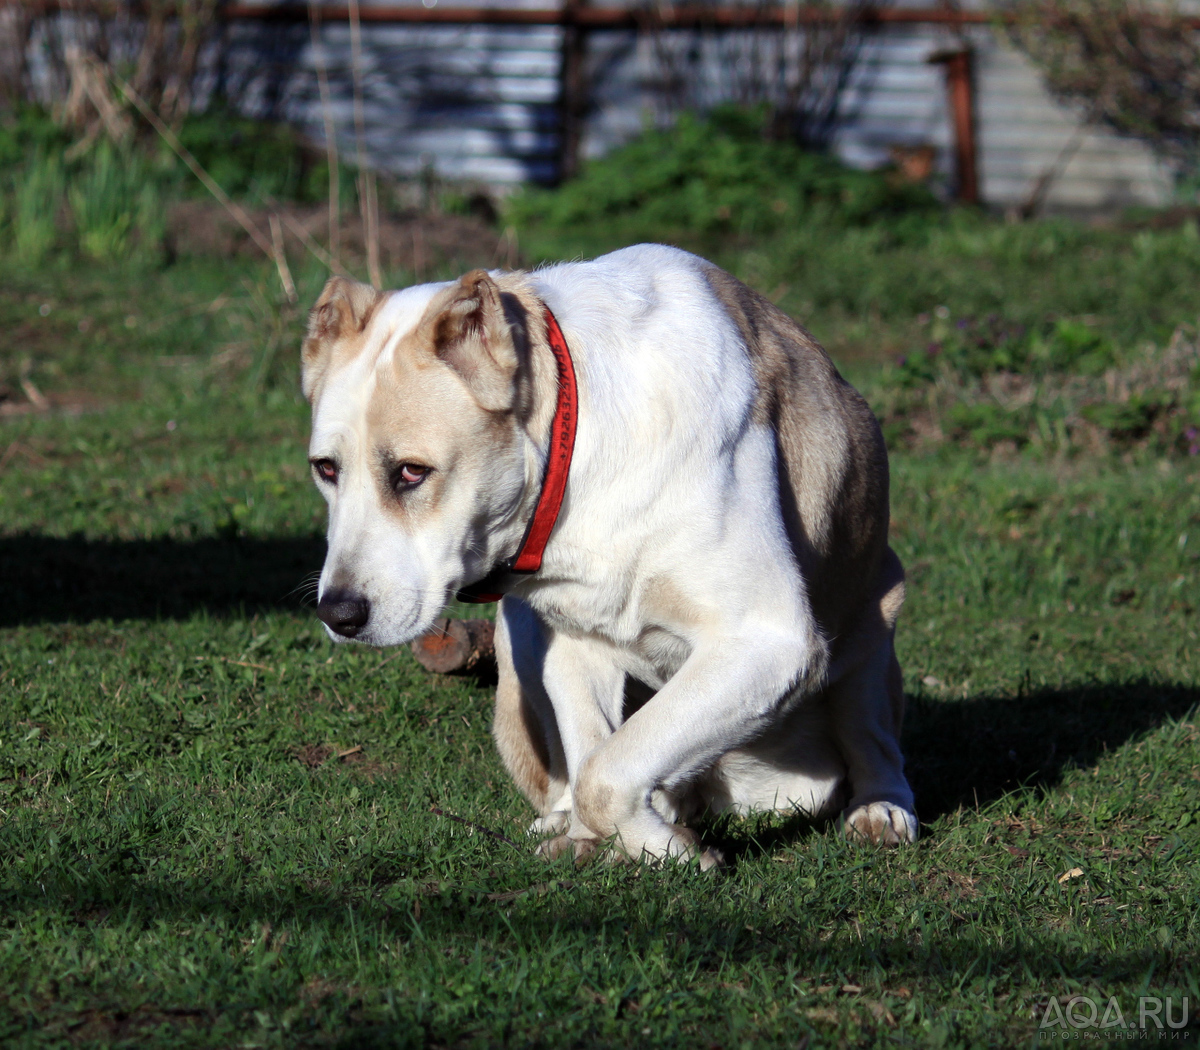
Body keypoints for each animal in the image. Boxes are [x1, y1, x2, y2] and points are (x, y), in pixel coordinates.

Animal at [302, 242, 916, 868]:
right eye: (325, 469)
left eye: (411, 472)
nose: (338, 614)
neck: (576, 441)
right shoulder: (570, 636)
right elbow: (592, 760)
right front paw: (626, 841)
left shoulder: (770, 642)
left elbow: (607, 772)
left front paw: (675, 852)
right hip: (517, 636)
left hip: (873, 625)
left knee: (876, 744)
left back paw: (879, 809)